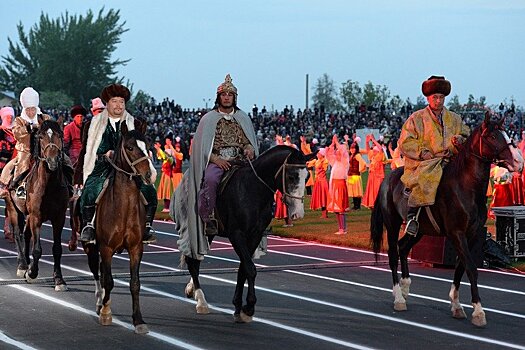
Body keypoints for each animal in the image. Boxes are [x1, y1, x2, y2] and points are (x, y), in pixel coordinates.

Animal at [4, 119, 72, 292]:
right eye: (40, 137)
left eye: (60, 135)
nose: (53, 161)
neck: (49, 185)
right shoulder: (36, 216)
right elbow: (37, 249)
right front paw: (32, 272)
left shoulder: (59, 217)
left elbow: (57, 249)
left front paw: (59, 279)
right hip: (13, 207)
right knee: (18, 234)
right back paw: (23, 265)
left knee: (27, 235)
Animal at [78, 121, 156, 332]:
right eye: (129, 147)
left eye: (148, 145)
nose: (150, 175)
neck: (124, 207)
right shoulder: (106, 248)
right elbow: (109, 280)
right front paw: (106, 314)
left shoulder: (136, 248)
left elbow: (135, 283)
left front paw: (139, 320)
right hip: (91, 247)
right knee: (98, 274)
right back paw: (101, 304)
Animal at [370, 113, 520, 328]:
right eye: (492, 137)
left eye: (507, 133)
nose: (517, 161)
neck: (466, 188)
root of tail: (387, 180)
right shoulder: (457, 233)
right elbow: (471, 268)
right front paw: (478, 311)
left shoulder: (472, 234)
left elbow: (461, 267)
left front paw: (456, 305)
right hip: (392, 224)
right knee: (392, 254)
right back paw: (399, 297)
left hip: (419, 230)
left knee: (403, 248)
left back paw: (406, 288)